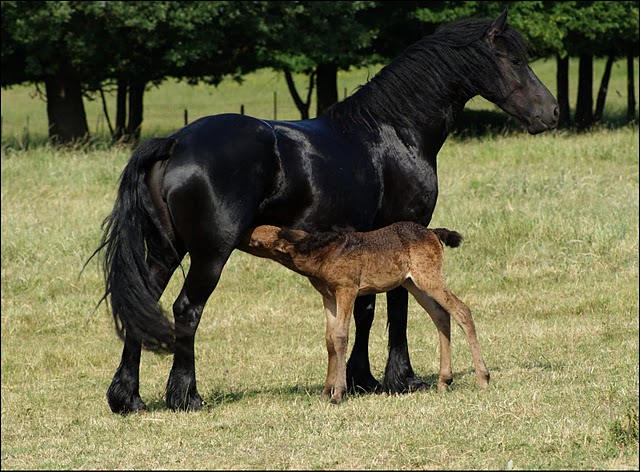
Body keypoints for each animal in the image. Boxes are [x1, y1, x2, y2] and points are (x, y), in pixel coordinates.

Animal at [240, 223, 490, 404]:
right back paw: (444, 381)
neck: (323, 254)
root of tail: (432, 232)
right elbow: (329, 339)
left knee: (461, 310)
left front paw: (338, 394)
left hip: (429, 277)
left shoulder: (347, 289)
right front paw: (325, 392)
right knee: (441, 315)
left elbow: (341, 336)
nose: (239, 236)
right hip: (413, 283)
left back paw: (483, 379)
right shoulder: (329, 296)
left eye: (256, 240)